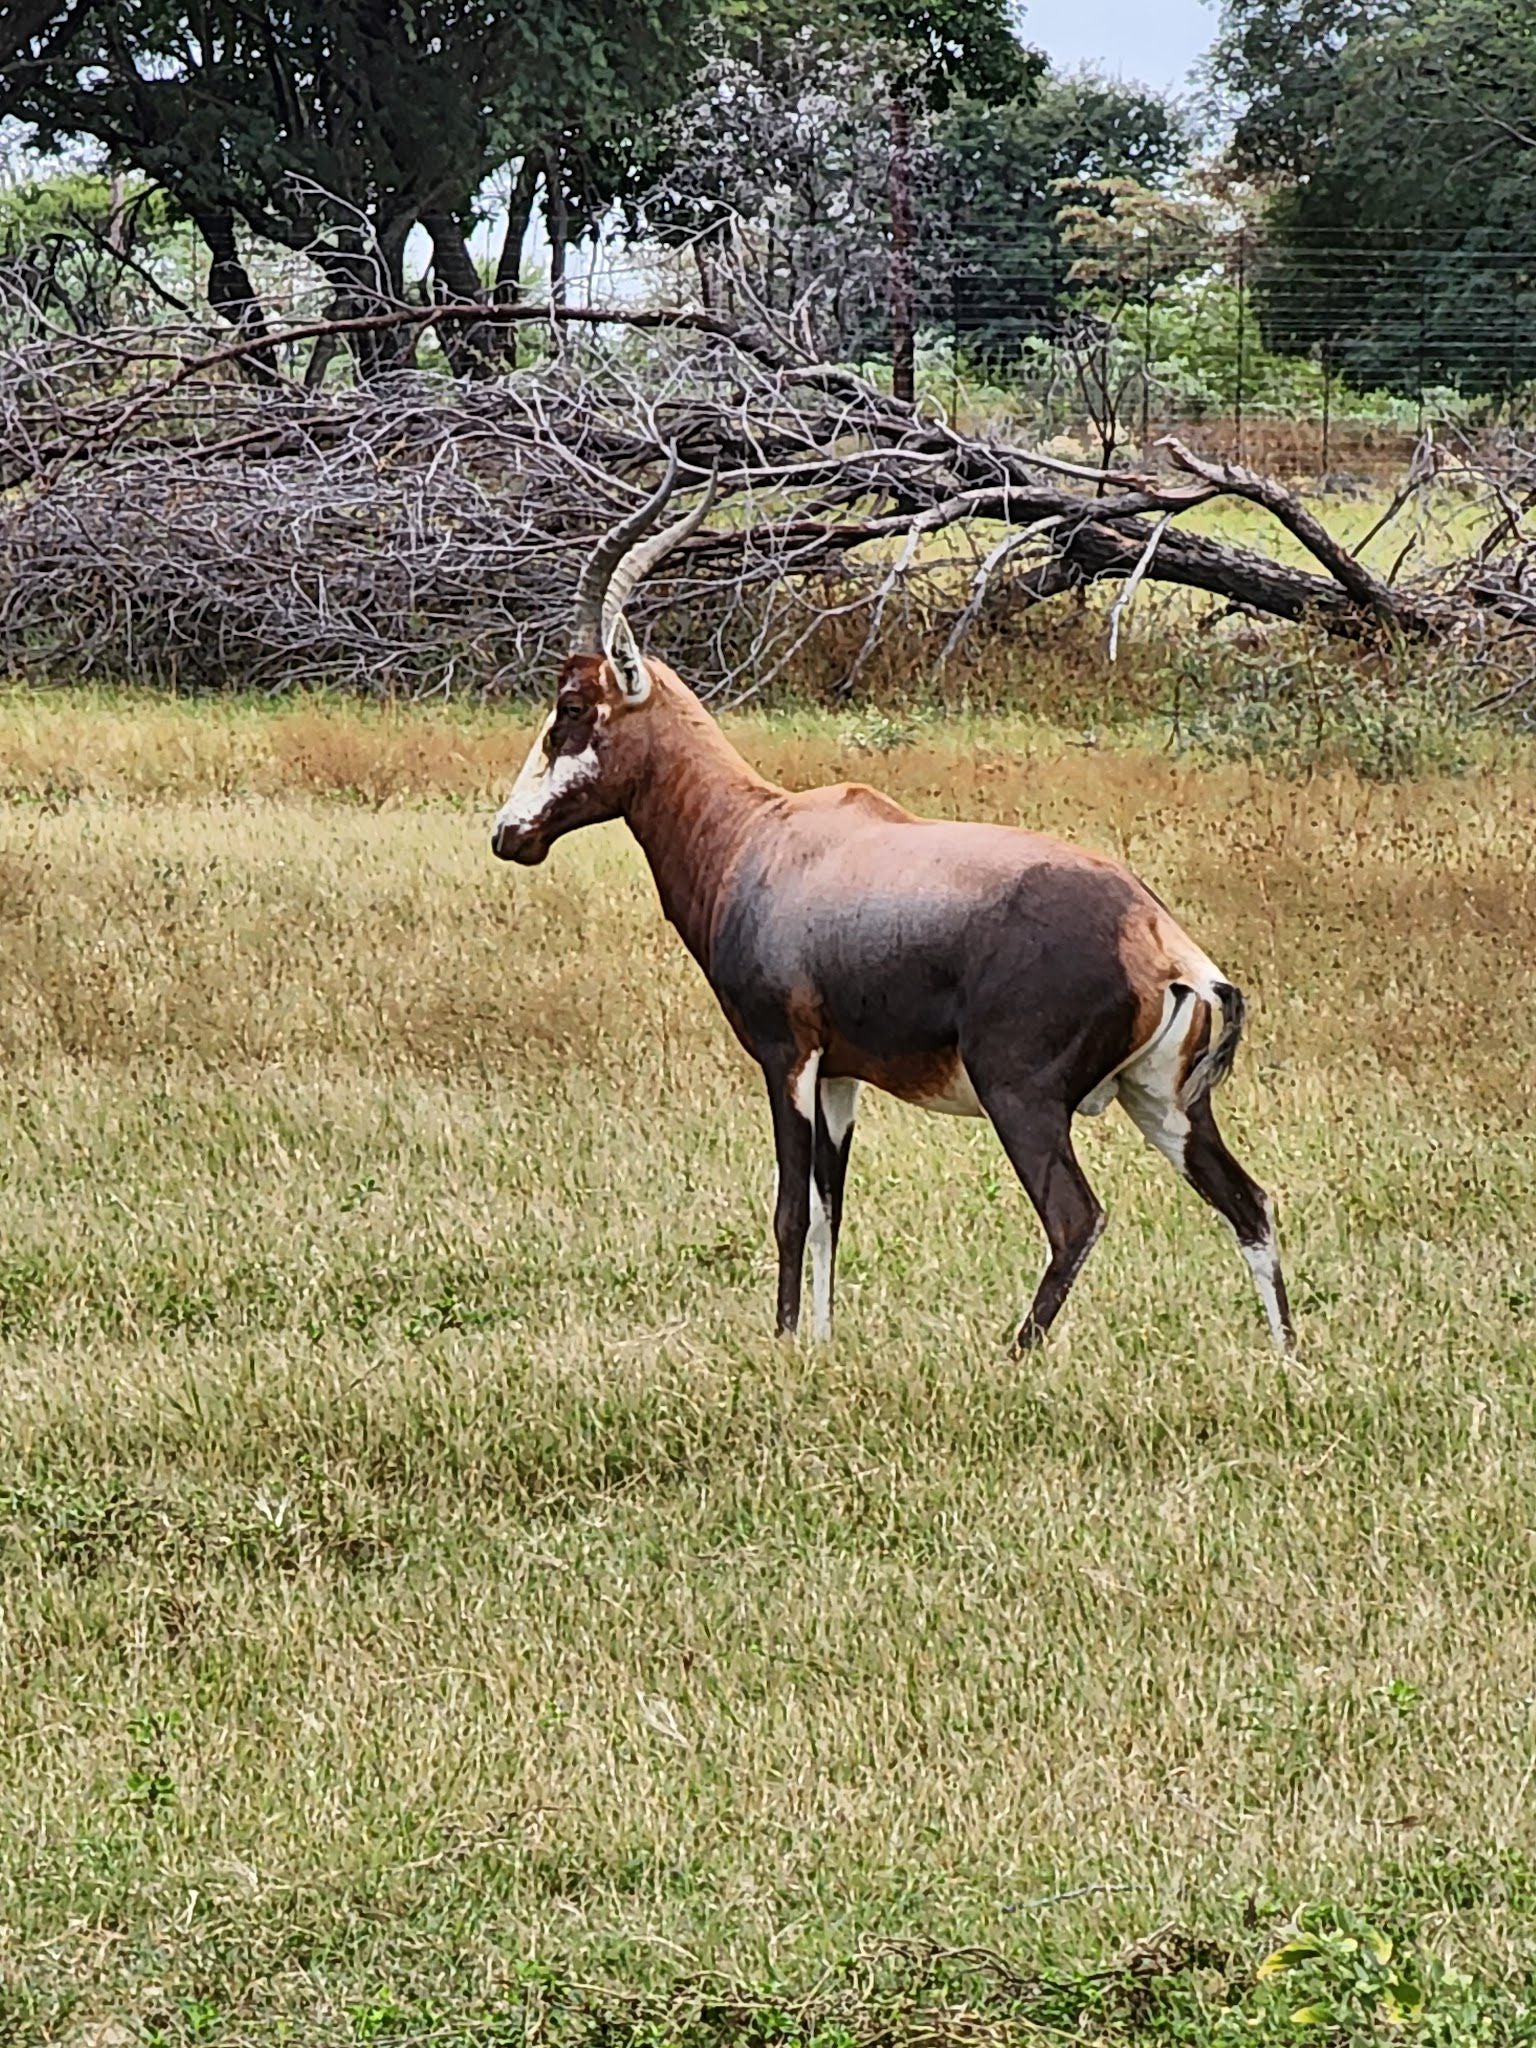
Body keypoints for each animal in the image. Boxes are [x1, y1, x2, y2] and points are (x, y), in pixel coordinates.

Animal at [493, 468, 1302, 1359]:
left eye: (572, 708)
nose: (508, 834)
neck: (764, 833)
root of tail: (1161, 940)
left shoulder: (787, 1058)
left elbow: (789, 1211)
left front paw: (783, 1345)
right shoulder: (841, 1075)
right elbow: (829, 1212)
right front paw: (819, 1342)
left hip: (1021, 1098)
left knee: (1075, 1219)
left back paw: (1010, 1358)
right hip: (1163, 1103)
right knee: (1250, 1204)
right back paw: (1286, 1361)